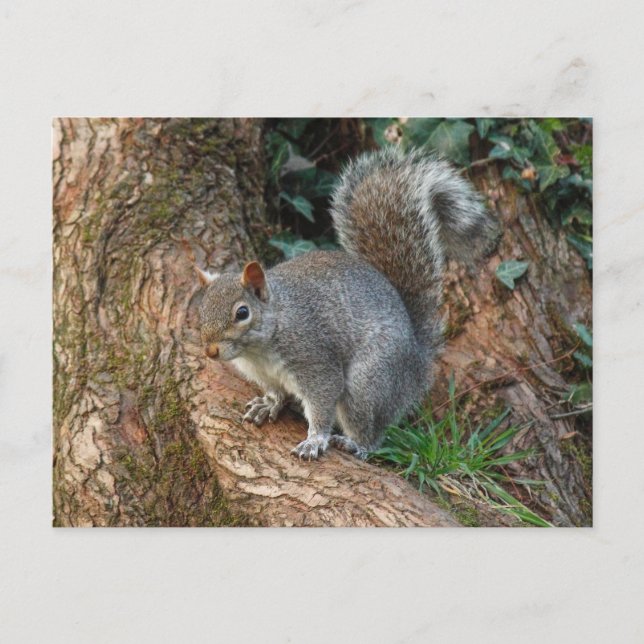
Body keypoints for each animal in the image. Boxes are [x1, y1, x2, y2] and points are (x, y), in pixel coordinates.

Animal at [197, 147, 497, 460]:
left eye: (242, 313)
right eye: (201, 308)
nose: (210, 351)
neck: (261, 346)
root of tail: (417, 364)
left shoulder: (314, 360)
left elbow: (322, 401)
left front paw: (315, 439)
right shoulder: (264, 375)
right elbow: (275, 392)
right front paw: (268, 405)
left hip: (368, 383)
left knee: (371, 431)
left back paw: (356, 444)